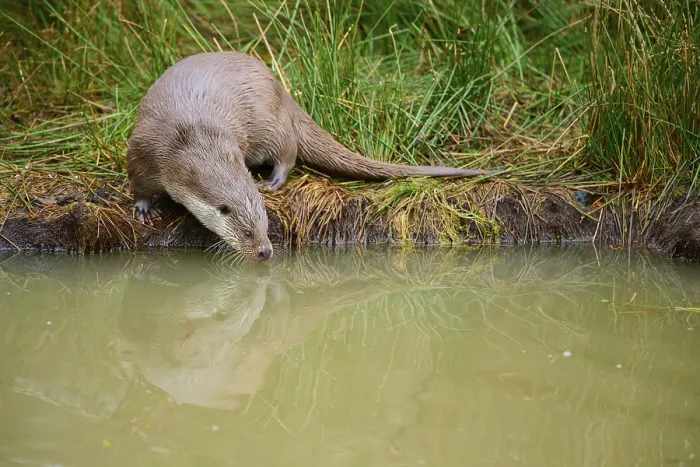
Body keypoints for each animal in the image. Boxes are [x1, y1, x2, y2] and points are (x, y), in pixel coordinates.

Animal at [126, 51, 497, 261]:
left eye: (266, 226)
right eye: (247, 233)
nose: (266, 252)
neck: (188, 136)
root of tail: (282, 90)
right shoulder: (145, 147)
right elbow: (138, 181)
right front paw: (144, 208)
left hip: (270, 122)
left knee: (287, 151)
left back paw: (271, 182)